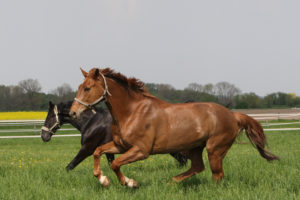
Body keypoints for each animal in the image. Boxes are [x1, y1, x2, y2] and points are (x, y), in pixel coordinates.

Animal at [41, 101, 186, 170]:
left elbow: (70, 165)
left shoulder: (87, 148)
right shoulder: (107, 150)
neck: (92, 121)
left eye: (50, 117)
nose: (43, 136)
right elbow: (111, 164)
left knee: (183, 159)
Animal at [70, 68, 278, 188]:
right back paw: (172, 182)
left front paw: (129, 182)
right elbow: (98, 151)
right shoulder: (121, 145)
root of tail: (233, 115)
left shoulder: (141, 150)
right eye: (80, 86)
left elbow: (115, 164)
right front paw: (102, 179)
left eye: (87, 88)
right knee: (198, 167)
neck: (132, 111)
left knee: (217, 174)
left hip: (214, 149)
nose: (73, 112)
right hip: (195, 147)